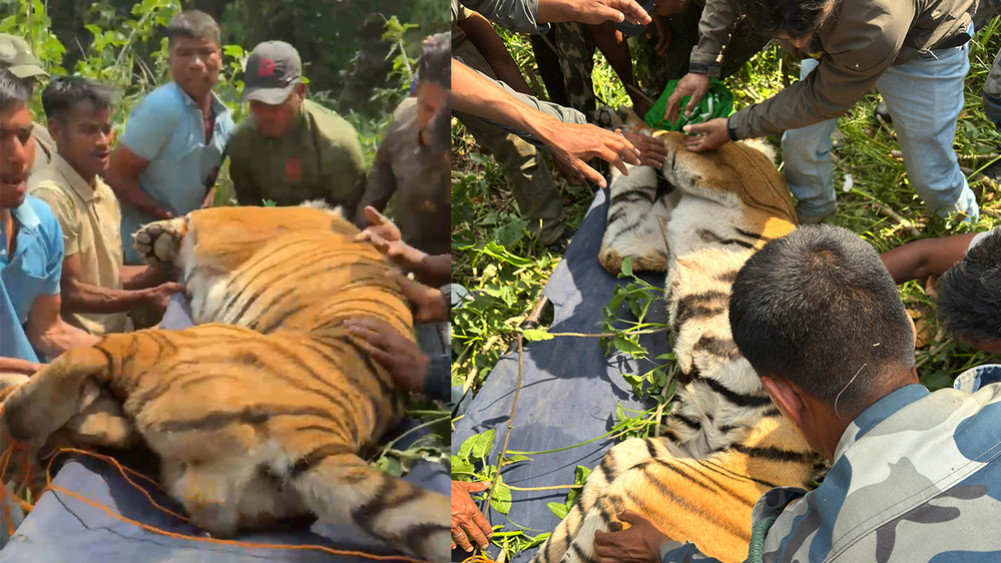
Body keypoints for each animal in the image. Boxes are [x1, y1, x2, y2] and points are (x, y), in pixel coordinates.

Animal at [0, 205, 450, 562]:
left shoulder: (227, 220)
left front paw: (160, 236)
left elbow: (197, 219)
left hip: (157, 347)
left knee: (79, 368)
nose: (146, 240)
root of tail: (316, 432)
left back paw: (15, 408)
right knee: (107, 425)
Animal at [530, 112, 815, 563]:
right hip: (637, 457)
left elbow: (670, 144)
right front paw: (621, 136)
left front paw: (632, 130)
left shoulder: (729, 172)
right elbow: (619, 222)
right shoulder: (644, 237)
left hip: (651, 488)